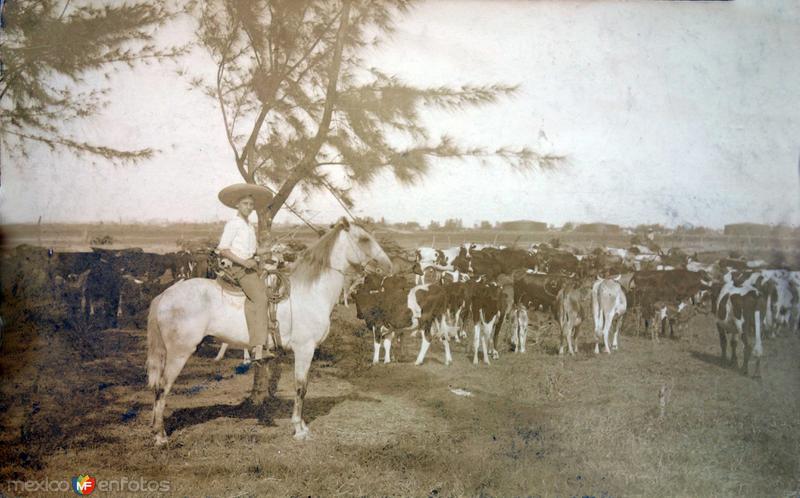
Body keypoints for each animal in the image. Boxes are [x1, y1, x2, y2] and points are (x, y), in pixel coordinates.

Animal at [148, 220, 392, 446]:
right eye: (364, 240)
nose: (389, 267)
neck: (310, 292)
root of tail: (165, 295)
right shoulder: (304, 349)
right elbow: (301, 387)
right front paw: (299, 429)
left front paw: (302, 426)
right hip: (180, 352)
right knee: (162, 387)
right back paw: (160, 436)